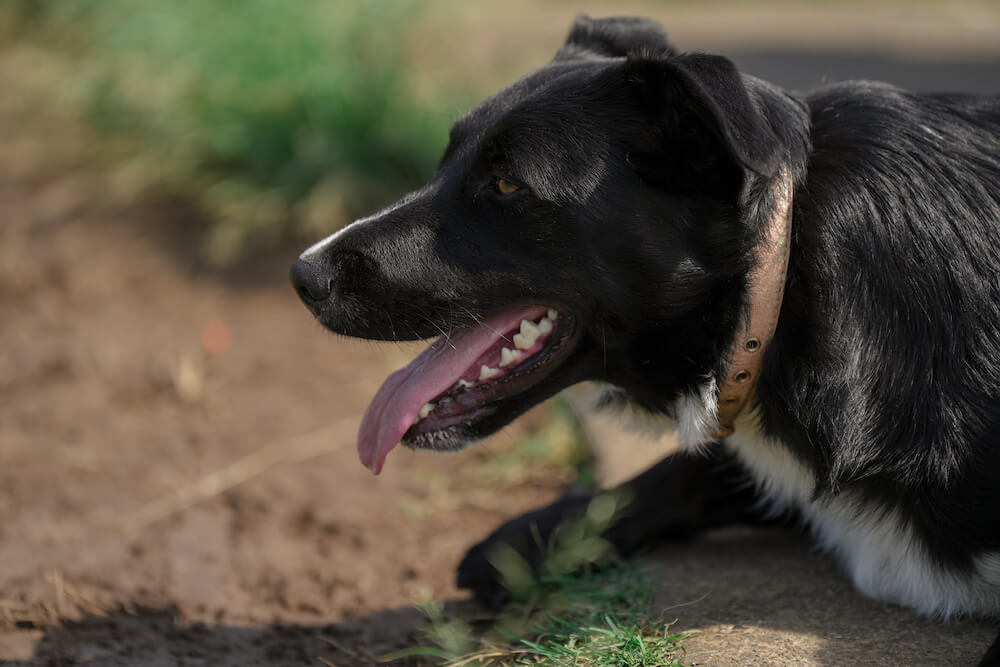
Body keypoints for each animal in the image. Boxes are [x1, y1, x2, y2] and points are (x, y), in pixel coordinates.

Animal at [292, 17, 1000, 667]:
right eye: (446, 160)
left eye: (508, 184)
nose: (303, 275)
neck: (782, 274)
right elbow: (690, 469)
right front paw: (529, 540)